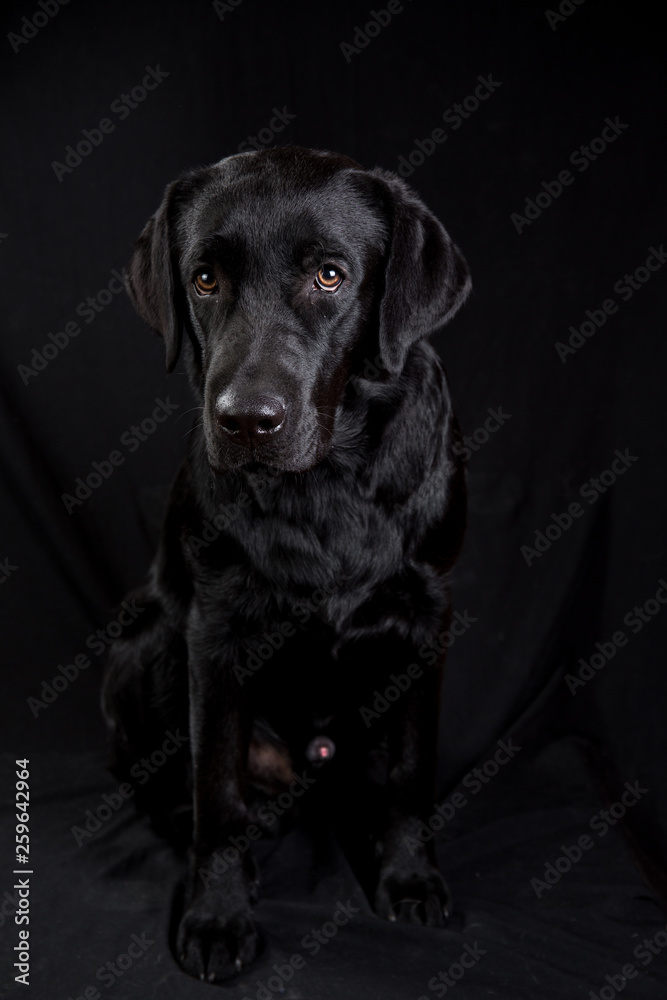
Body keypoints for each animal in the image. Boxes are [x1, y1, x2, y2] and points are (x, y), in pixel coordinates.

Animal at [102, 145, 472, 980]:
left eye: (329, 275)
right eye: (204, 278)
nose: (245, 421)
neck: (325, 484)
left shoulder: (427, 619)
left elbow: (410, 772)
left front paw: (409, 877)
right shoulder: (213, 632)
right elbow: (218, 789)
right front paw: (216, 914)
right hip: (142, 639)